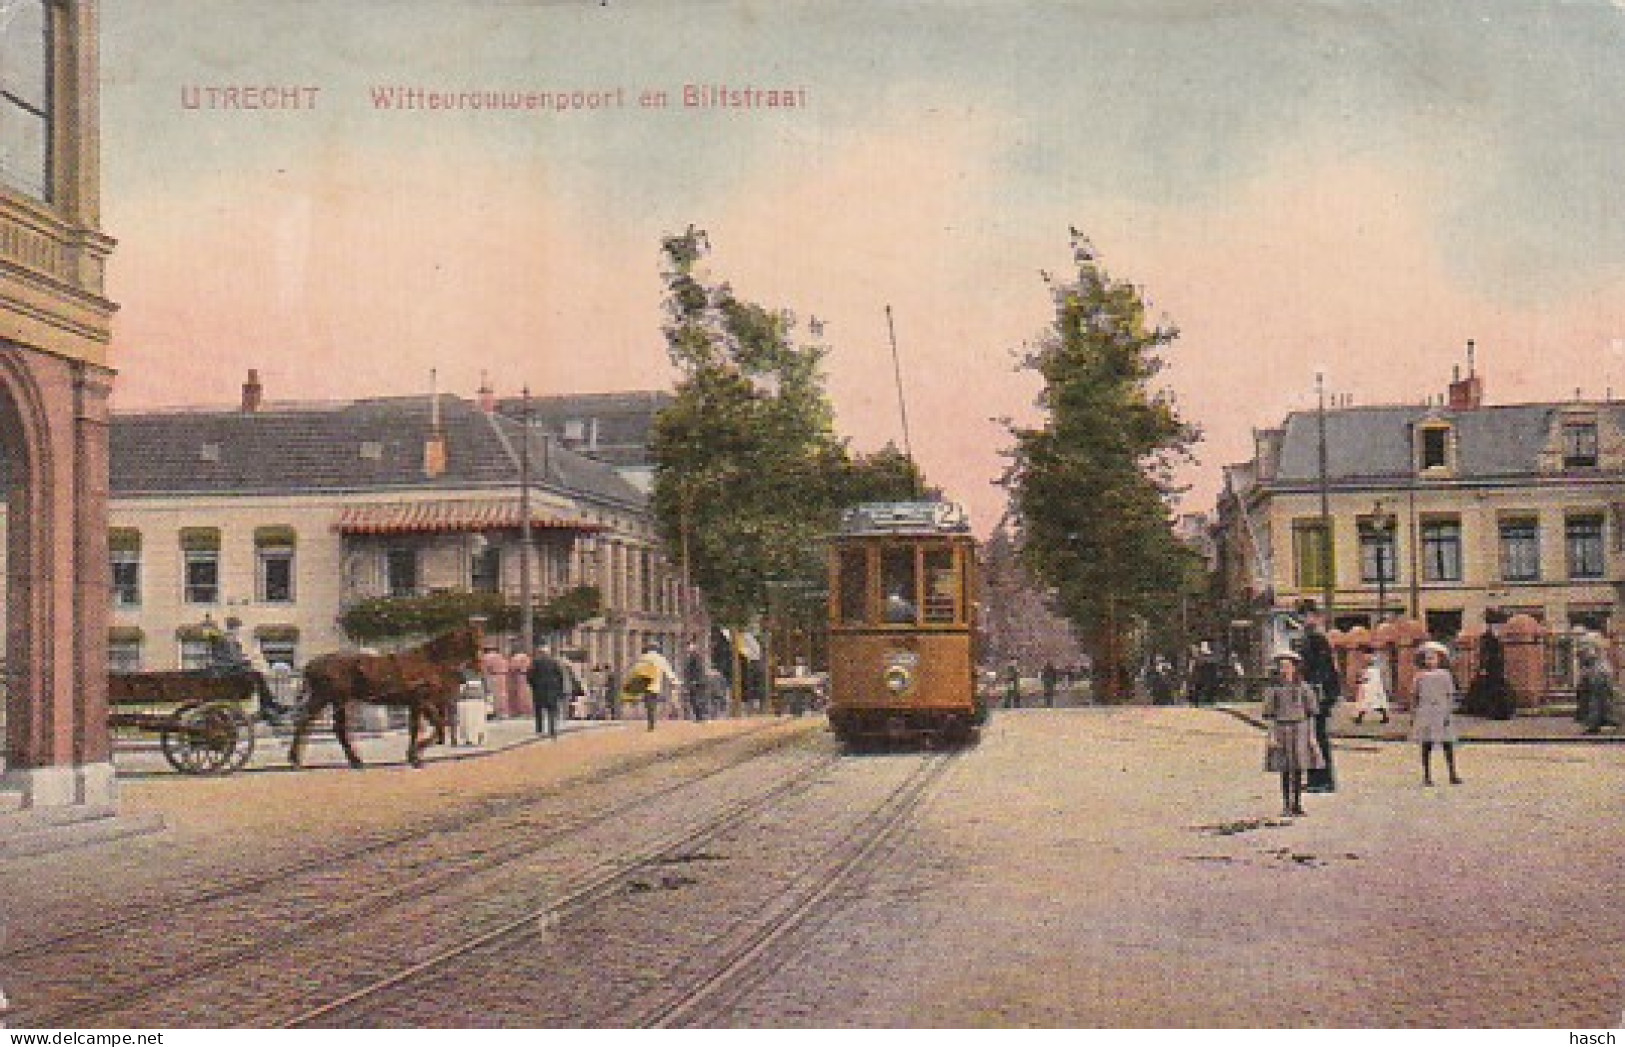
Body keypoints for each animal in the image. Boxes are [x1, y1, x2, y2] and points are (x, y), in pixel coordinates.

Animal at [289, 630, 477, 767]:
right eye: (476, 642)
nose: (465, 679)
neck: (429, 661)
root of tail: (311, 665)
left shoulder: (419, 703)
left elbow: (433, 726)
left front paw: (415, 754)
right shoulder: (420, 701)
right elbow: (430, 727)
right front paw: (415, 755)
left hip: (335, 700)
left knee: (328, 727)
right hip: (327, 698)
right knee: (309, 723)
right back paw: (297, 758)